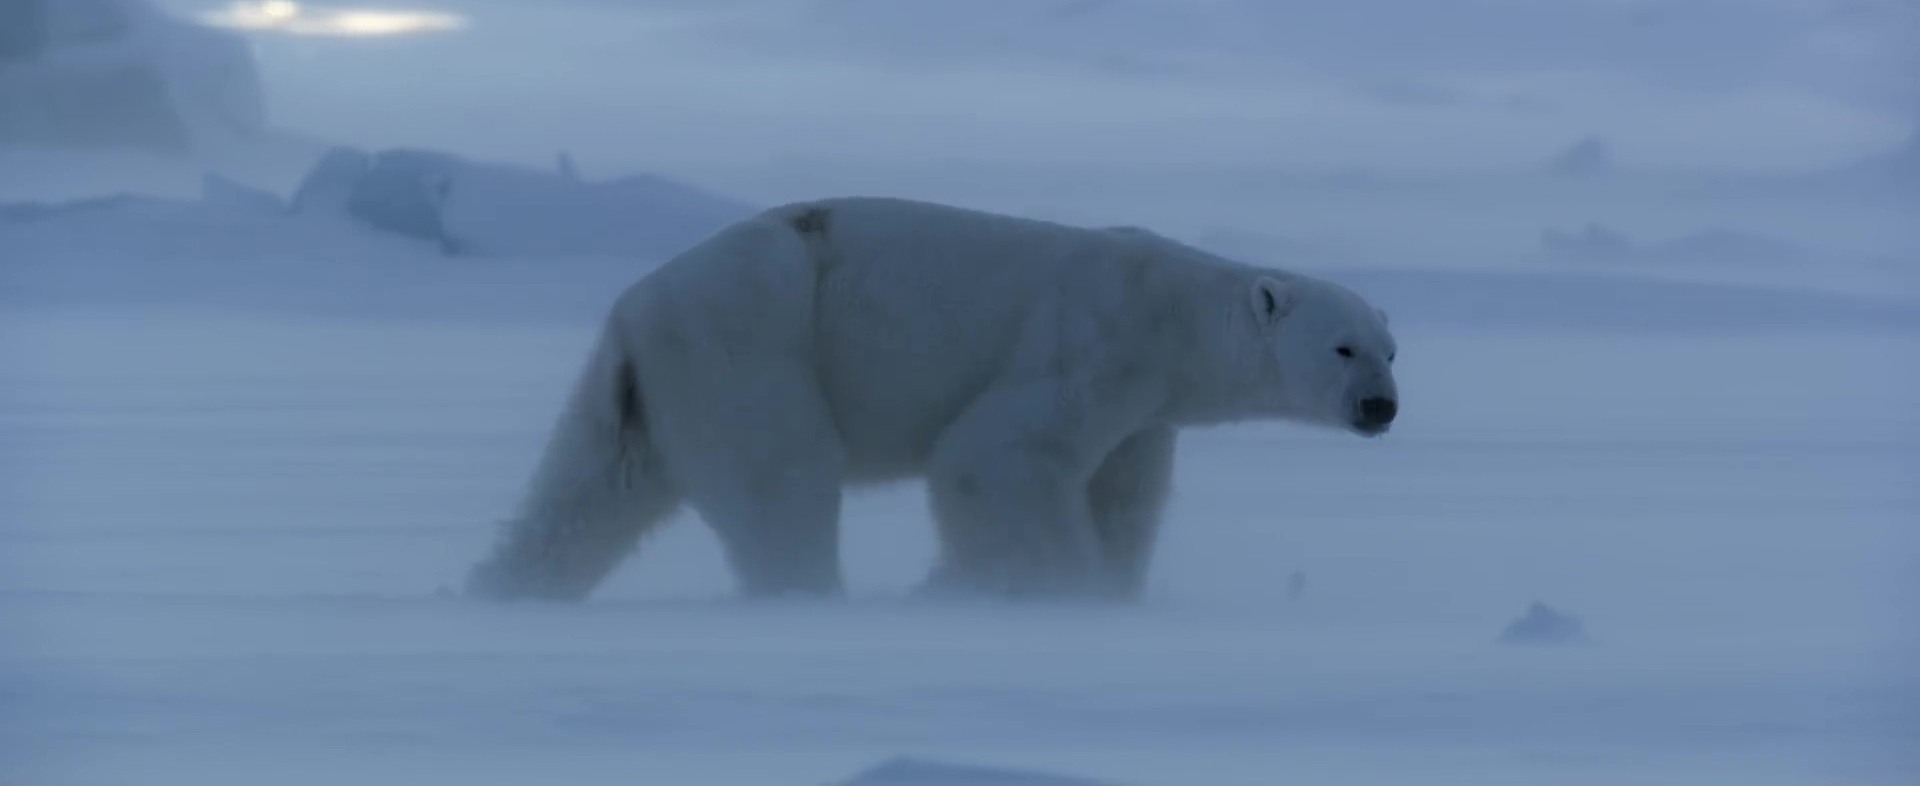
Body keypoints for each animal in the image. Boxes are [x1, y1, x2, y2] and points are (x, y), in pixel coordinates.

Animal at [461, 196, 1400, 603]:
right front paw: (1048, 593)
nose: (1380, 408)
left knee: (588, 493)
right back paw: (810, 598)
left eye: (1391, 350)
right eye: (1343, 347)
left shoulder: (1146, 411)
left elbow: (1123, 495)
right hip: (751, 344)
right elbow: (996, 459)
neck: (1170, 310)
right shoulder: (1089, 344)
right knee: (782, 483)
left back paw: (500, 591)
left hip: (649, 383)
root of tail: (634, 308)